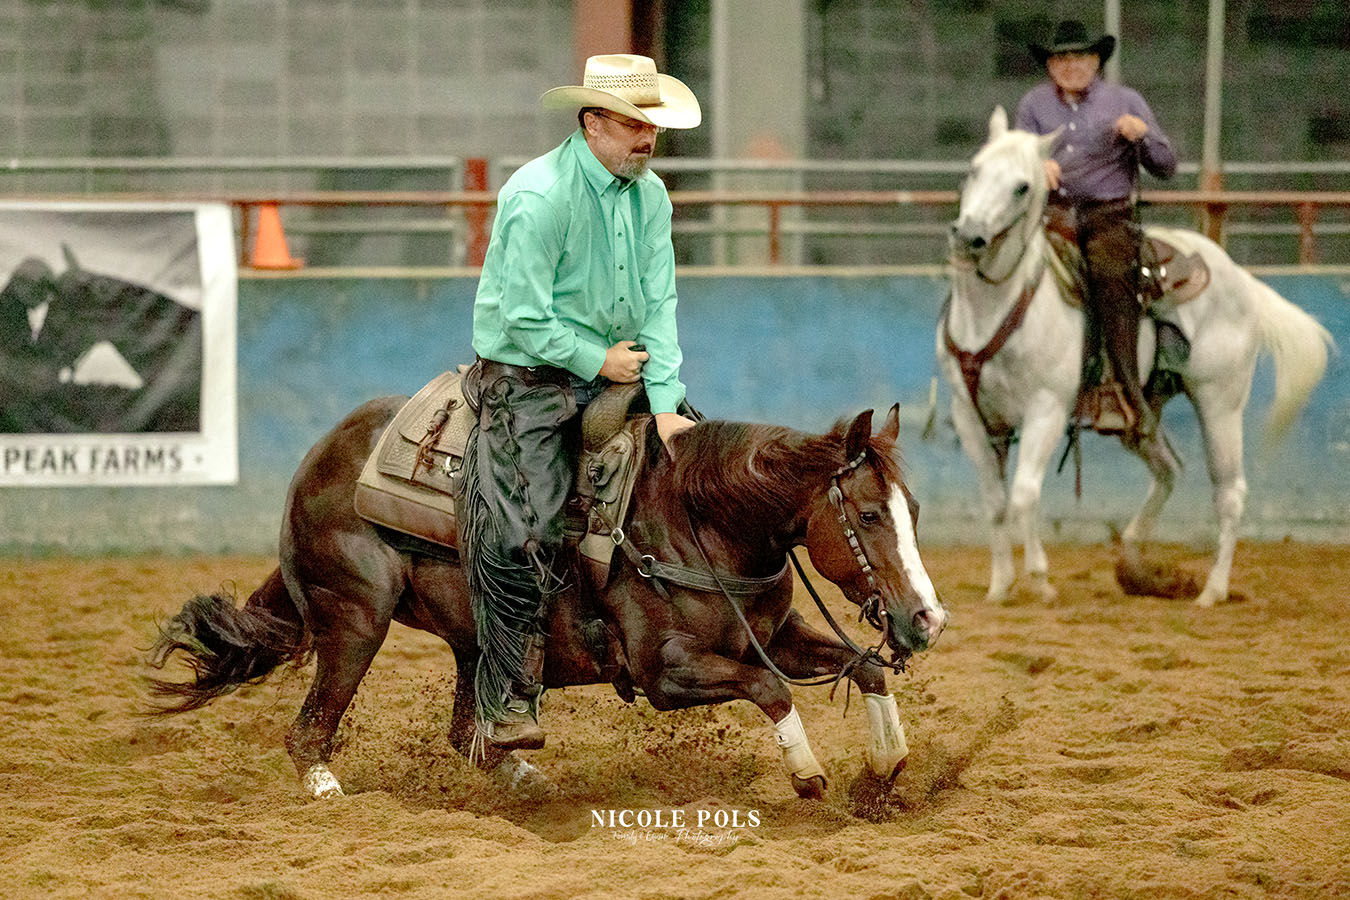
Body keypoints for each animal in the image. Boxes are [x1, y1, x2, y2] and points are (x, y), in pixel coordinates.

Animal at [147, 396, 950, 804]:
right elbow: (771, 688)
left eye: (914, 509)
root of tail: (321, 456)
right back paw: (323, 786)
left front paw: (886, 766)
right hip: (356, 618)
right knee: (312, 727)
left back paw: (524, 771)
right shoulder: (665, 672)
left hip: (474, 639)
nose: (928, 619)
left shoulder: (773, 632)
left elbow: (860, 665)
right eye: (869, 514)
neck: (698, 520)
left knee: (470, 734)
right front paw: (809, 773)